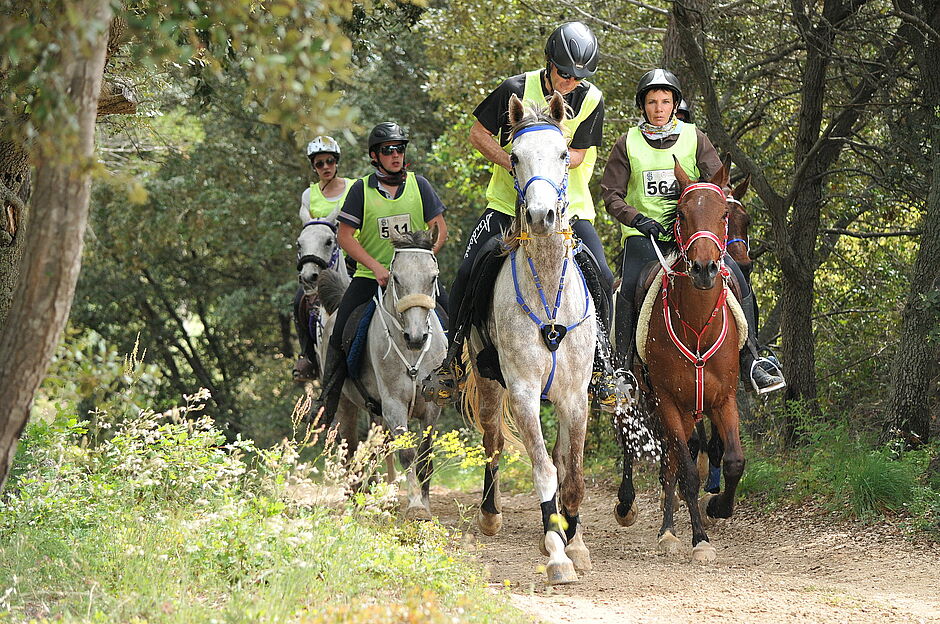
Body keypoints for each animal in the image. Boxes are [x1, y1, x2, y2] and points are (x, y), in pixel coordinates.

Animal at [318, 228, 446, 516]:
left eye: (433, 277)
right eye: (395, 278)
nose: (416, 337)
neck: (412, 355)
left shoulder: (431, 407)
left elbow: (425, 455)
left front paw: (426, 505)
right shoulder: (393, 404)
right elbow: (407, 453)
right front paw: (415, 506)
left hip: (375, 412)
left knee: (377, 449)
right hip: (346, 405)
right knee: (352, 450)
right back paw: (358, 498)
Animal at [462, 94, 596, 584]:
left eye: (563, 154)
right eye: (515, 157)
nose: (541, 217)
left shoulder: (575, 397)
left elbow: (571, 474)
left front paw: (574, 542)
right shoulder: (521, 392)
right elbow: (543, 469)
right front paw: (556, 553)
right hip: (487, 385)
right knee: (493, 443)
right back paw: (490, 515)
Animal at [616, 158, 748, 564]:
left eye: (724, 214)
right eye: (683, 215)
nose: (704, 268)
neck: (696, 325)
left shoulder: (723, 399)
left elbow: (733, 460)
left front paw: (719, 506)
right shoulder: (667, 401)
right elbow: (687, 472)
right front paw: (699, 539)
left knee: (675, 458)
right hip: (645, 400)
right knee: (651, 452)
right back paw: (647, 520)